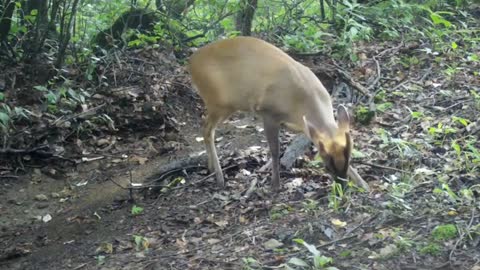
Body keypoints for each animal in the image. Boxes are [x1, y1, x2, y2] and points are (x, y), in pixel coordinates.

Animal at [189, 36, 370, 192]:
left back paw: (211, 168)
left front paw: (363, 184)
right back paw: (219, 177)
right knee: (207, 130)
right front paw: (275, 184)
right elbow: (275, 150)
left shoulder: (306, 127)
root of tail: (190, 63)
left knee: (207, 130)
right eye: (326, 165)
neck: (301, 102)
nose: (342, 187)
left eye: (349, 160)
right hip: (218, 103)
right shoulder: (268, 113)